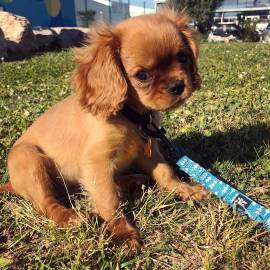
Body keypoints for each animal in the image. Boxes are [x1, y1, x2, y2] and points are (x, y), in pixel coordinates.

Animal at [2, 8, 207, 253]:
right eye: (142, 75)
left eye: (183, 57)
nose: (178, 85)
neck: (131, 116)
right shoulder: (96, 163)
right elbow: (108, 201)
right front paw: (123, 232)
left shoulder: (148, 152)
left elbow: (165, 172)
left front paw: (183, 189)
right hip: (29, 159)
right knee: (47, 203)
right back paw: (69, 216)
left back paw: (132, 180)